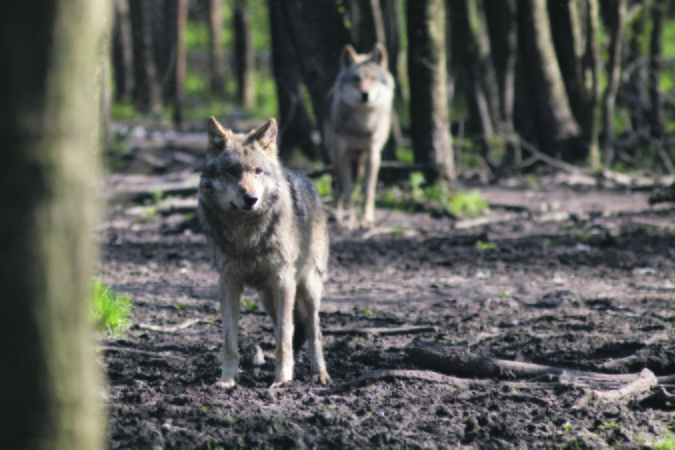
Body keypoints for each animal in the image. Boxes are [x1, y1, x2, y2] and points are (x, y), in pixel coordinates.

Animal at [197, 116, 332, 386]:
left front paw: (282, 380)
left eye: (258, 171)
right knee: (288, 328)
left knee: (314, 330)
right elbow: (229, 341)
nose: (251, 199)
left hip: (307, 287)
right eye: (232, 171)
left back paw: (319, 373)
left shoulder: (283, 280)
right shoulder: (228, 282)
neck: (245, 235)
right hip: (268, 298)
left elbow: (284, 340)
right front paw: (227, 380)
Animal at [326, 42, 396, 229]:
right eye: (356, 79)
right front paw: (349, 220)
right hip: (335, 158)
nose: (365, 94)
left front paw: (367, 219)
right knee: (338, 186)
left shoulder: (373, 155)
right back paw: (336, 214)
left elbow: (368, 192)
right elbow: (348, 192)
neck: (362, 125)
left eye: (372, 79)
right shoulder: (343, 155)